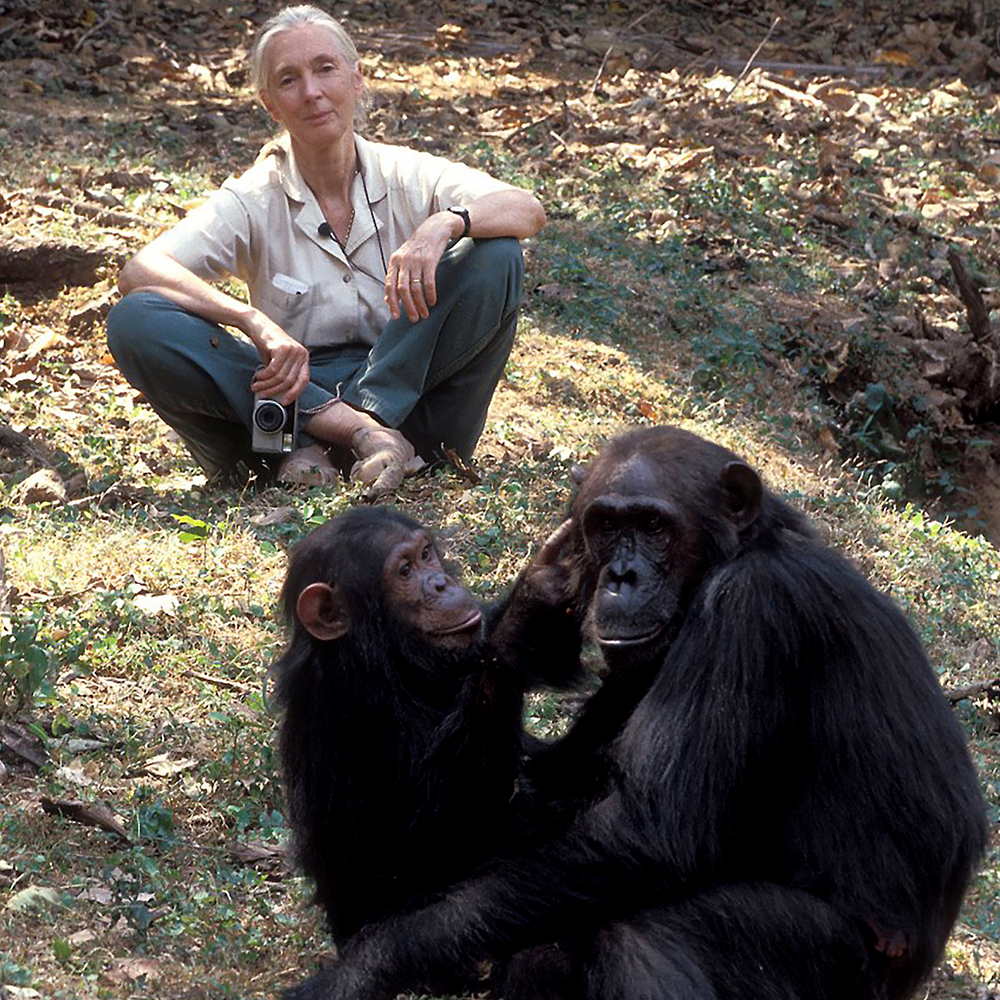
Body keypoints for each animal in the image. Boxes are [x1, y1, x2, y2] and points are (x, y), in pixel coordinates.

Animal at [270, 508, 584, 944]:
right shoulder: (357, 702)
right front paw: (529, 614)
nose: (439, 583)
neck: (393, 660)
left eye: (424, 555)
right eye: (404, 571)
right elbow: (441, 830)